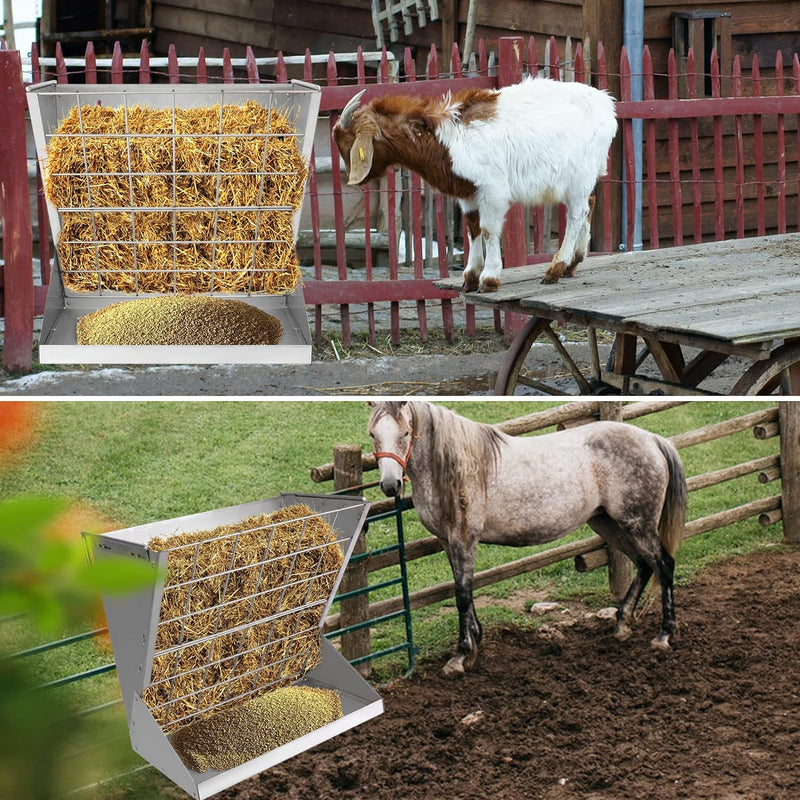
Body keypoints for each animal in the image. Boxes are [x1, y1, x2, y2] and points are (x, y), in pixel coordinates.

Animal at [332, 79, 620, 292]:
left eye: (348, 145)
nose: (355, 181)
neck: (445, 141)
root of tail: (608, 106)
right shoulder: (468, 193)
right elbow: (472, 228)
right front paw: (470, 277)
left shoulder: (492, 190)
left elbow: (490, 230)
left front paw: (489, 278)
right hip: (585, 178)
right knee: (590, 204)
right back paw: (574, 262)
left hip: (579, 176)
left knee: (576, 214)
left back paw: (556, 268)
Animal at [368, 400, 688, 676]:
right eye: (373, 434)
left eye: (405, 432)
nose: (389, 484)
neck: (456, 466)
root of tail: (653, 439)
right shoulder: (450, 542)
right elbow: (464, 589)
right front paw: (475, 643)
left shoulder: (463, 539)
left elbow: (462, 595)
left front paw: (461, 656)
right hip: (610, 524)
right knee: (645, 566)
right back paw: (622, 624)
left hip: (637, 524)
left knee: (664, 564)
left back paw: (664, 634)